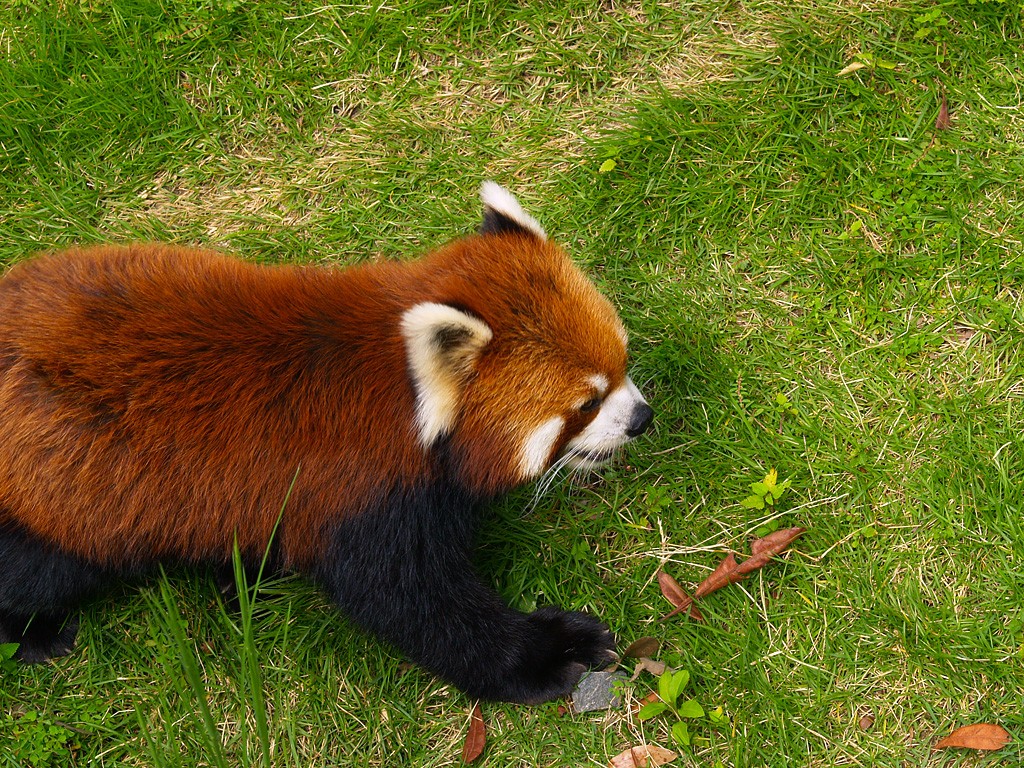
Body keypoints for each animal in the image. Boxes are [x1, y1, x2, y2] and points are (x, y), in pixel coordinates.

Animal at [0, 185, 651, 704]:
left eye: (621, 361)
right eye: (586, 404)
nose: (642, 419)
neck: (407, 393)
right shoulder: (362, 495)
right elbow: (417, 606)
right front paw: (549, 652)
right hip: (59, 498)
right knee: (36, 569)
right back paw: (33, 634)